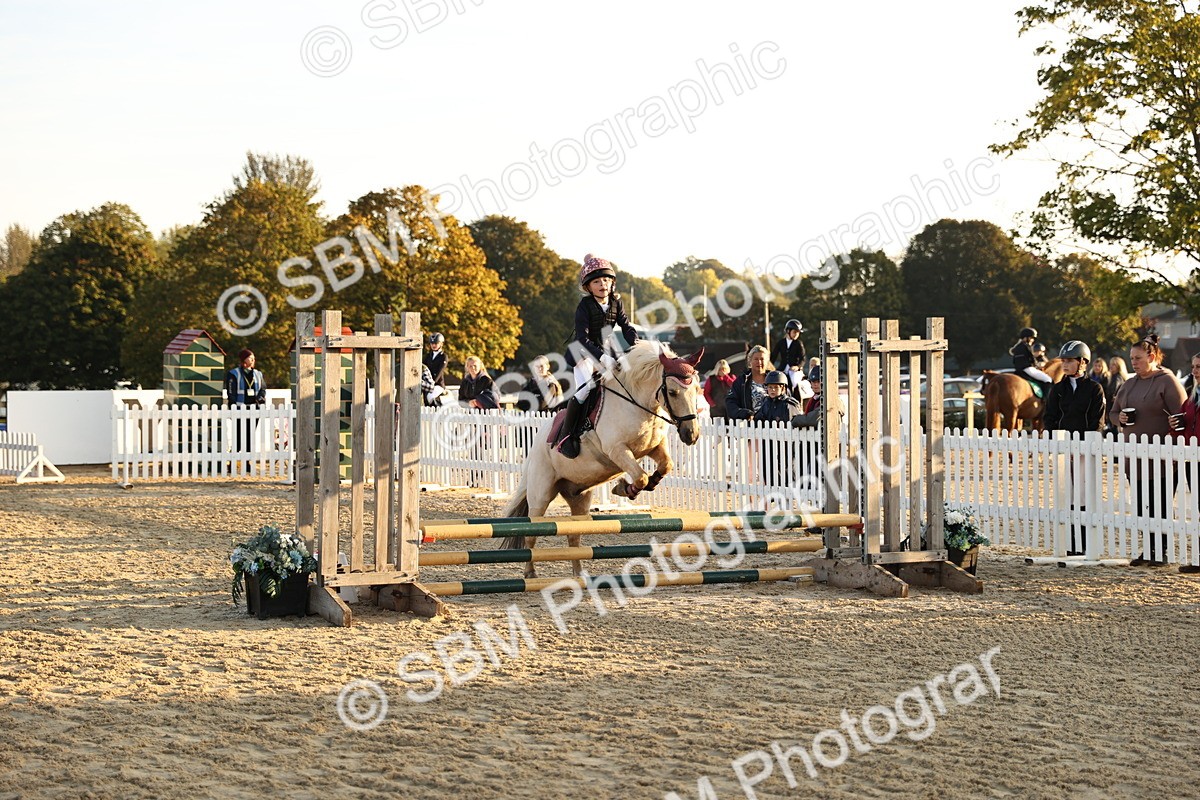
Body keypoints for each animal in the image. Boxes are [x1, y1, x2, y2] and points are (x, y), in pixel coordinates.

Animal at [498, 341, 704, 578]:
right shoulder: (617, 450)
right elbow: (640, 477)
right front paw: (624, 488)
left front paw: (647, 484)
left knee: (573, 536)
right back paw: (531, 573)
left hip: (579, 497)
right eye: (672, 391)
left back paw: (579, 575)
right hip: (540, 494)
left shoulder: (654, 447)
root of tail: (536, 444)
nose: (691, 434)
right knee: (532, 533)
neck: (638, 403)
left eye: (697, 389)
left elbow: (665, 466)